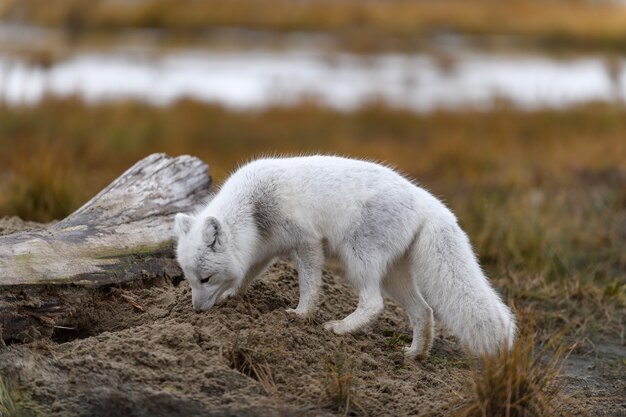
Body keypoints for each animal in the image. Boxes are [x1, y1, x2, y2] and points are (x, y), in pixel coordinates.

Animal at [173, 156, 516, 358]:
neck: (253, 210)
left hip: (358, 260)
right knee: (424, 311)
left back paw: (341, 328)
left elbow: (310, 286)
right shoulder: (261, 251)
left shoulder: (308, 242)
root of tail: (426, 200)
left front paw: (301, 315)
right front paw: (231, 295)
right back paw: (414, 355)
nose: (197, 311)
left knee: (374, 304)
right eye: (191, 280)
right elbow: (245, 276)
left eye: (206, 278)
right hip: (394, 276)